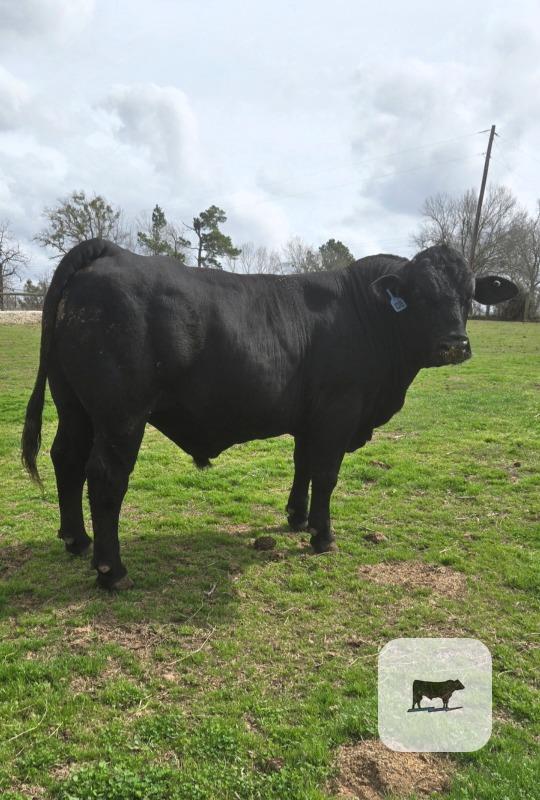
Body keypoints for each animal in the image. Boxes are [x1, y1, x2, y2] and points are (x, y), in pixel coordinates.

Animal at [22, 239, 517, 589]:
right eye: (419, 295)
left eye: (468, 294)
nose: (454, 344)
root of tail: (111, 252)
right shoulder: (339, 411)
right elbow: (327, 473)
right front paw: (323, 536)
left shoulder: (310, 418)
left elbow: (304, 465)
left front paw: (297, 518)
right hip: (120, 414)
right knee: (105, 476)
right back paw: (112, 570)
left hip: (75, 406)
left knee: (65, 457)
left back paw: (76, 540)